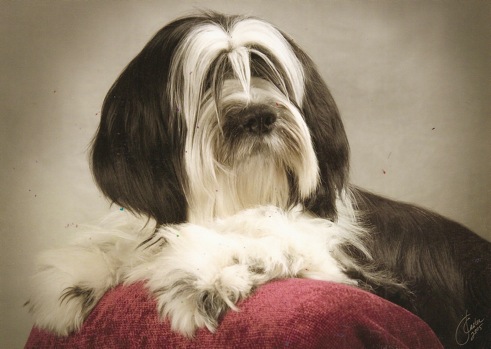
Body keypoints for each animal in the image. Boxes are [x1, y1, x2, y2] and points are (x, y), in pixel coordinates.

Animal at [27, 11, 491, 348]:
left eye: (267, 73)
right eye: (208, 82)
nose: (259, 116)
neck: (234, 199)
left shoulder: (367, 277)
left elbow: (272, 235)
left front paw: (205, 270)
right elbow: (127, 241)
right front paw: (75, 278)